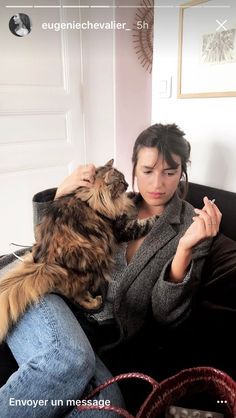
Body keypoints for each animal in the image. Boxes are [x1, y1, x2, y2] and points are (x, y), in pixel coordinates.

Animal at [0, 160, 157, 342]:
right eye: (120, 181)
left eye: (124, 179)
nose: (127, 185)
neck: (89, 198)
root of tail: (47, 263)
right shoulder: (121, 228)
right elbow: (144, 223)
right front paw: (158, 217)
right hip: (93, 264)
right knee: (78, 295)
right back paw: (94, 301)